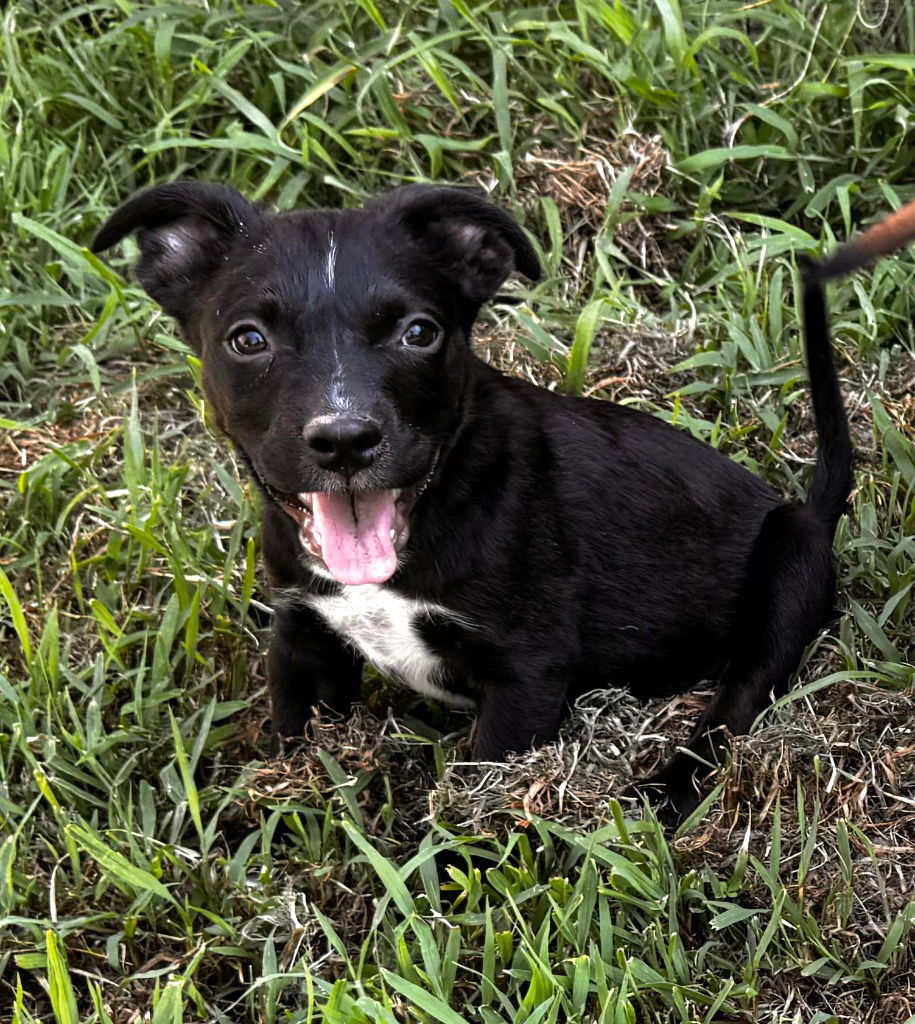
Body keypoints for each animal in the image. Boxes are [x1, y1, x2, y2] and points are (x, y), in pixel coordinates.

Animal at [95, 184, 900, 815]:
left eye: (419, 332)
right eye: (247, 340)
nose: (345, 440)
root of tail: (811, 507)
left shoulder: (525, 676)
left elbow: (474, 805)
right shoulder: (304, 637)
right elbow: (298, 751)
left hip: (784, 569)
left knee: (736, 704)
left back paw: (665, 791)